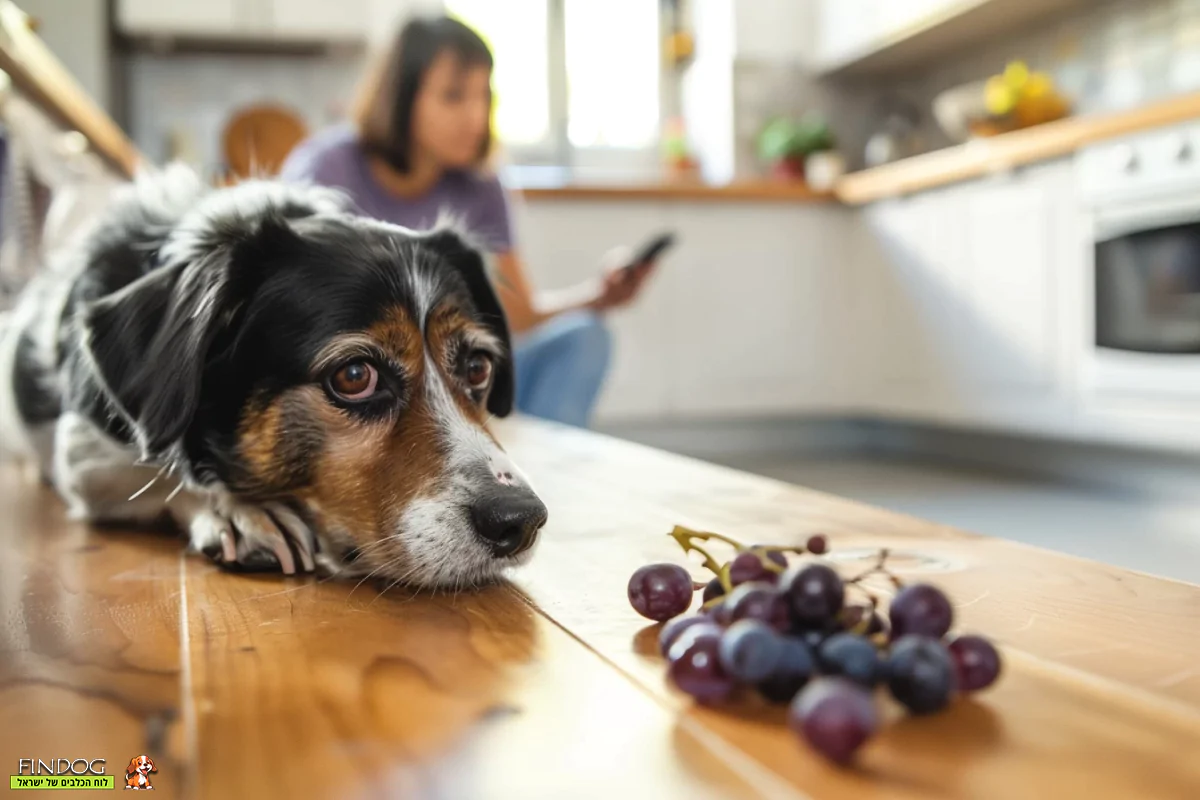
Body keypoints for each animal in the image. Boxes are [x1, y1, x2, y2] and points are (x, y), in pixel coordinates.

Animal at [0, 164, 549, 587]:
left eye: (477, 366)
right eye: (355, 375)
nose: (520, 520)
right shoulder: (81, 448)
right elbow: (157, 469)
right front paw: (240, 510)